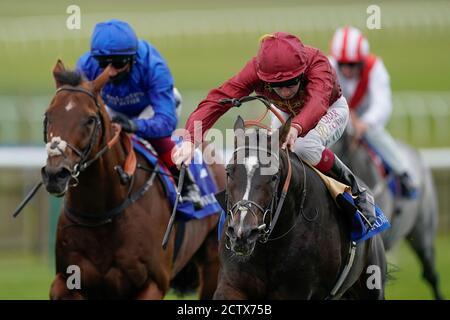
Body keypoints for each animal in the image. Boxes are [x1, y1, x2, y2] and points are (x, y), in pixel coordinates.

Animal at [41, 60, 225, 300]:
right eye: (48, 116)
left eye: (90, 119)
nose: (55, 174)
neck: (102, 213)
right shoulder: (67, 279)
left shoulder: (152, 283)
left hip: (213, 262)